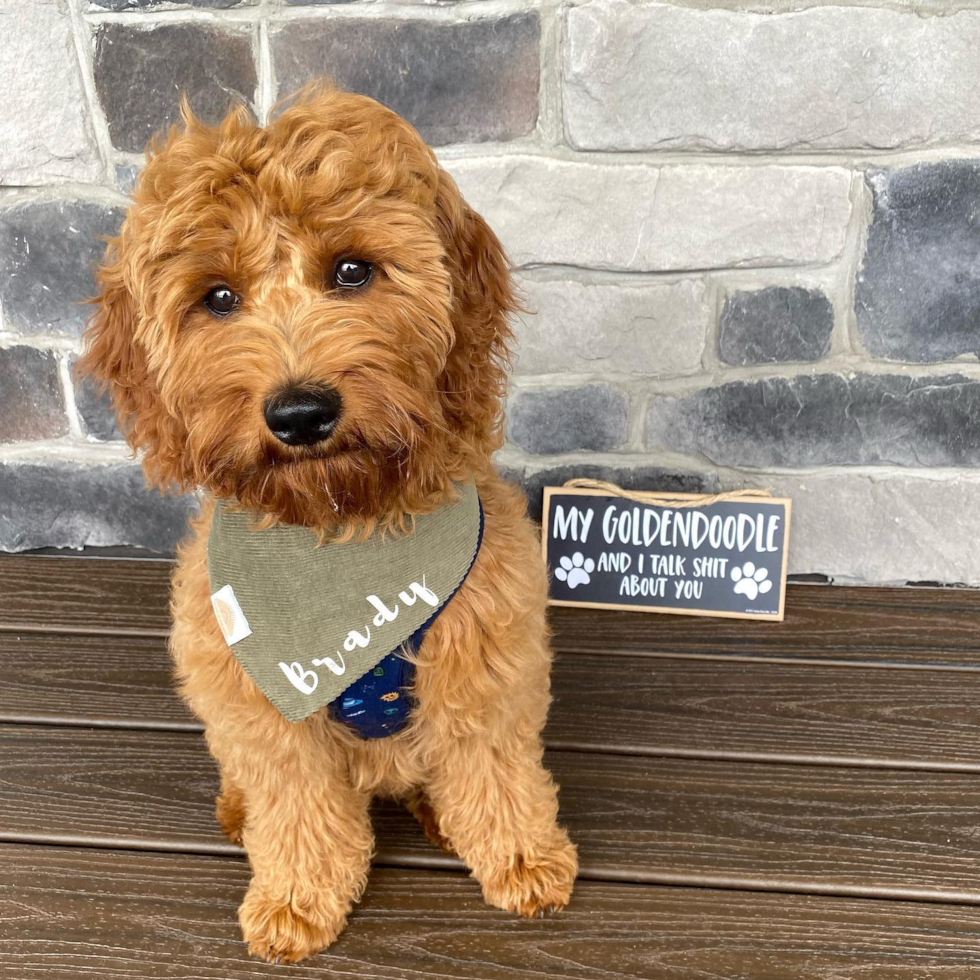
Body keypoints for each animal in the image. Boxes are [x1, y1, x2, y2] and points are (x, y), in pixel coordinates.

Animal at [82, 88, 580, 960]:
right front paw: (294, 897)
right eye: (218, 297)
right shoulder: (257, 702)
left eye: (352, 270)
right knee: (248, 781)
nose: (300, 413)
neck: (340, 528)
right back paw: (238, 813)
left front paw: (522, 856)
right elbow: (296, 804)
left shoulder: (484, 661)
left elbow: (492, 766)